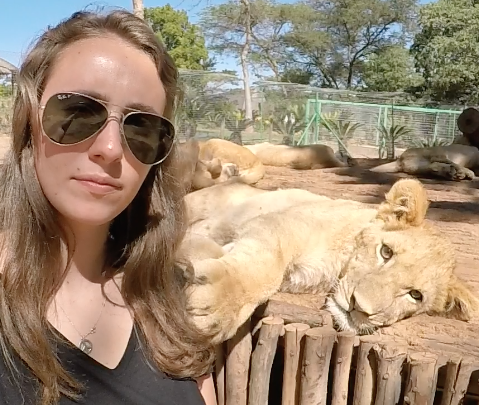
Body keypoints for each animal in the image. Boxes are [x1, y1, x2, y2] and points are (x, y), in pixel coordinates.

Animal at [181, 178, 479, 342]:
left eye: (415, 295)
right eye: (386, 252)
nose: (359, 307)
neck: (336, 267)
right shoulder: (277, 223)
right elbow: (266, 266)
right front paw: (216, 306)